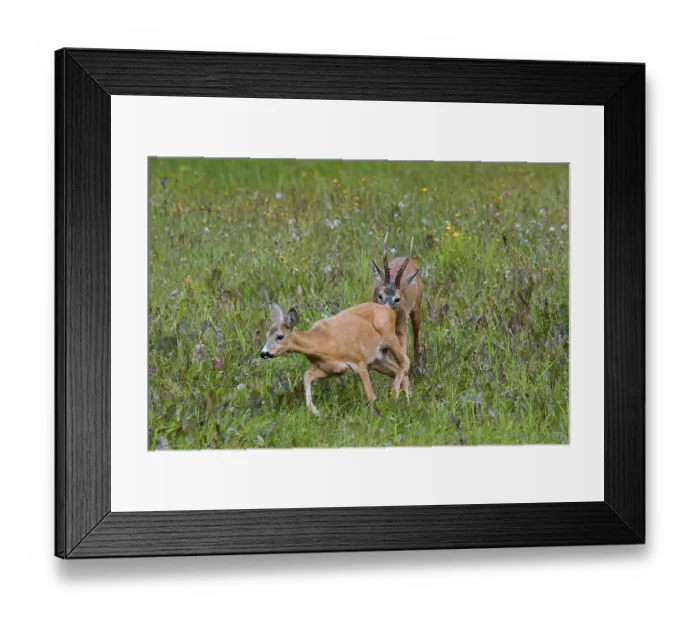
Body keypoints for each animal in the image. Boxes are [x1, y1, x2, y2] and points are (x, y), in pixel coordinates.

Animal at [260, 301, 410, 416]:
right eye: (266, 335)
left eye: (280, 336)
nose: (264, 353)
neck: (324, 343)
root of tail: (389, 310)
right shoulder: (328, 369)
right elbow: (306, 375)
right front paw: (314, 410)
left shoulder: (359, 361)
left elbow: (371, 396)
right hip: (377, 359)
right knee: (398, 369)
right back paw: (407, 400)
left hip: (390, 337)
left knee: (405, 362)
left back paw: (395, 393)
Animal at [371, 233, 424, 375]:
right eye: (380, 295)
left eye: (397, 299)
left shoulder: (401, 325)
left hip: (417, 306)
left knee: (416, 340)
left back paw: (420, 369)